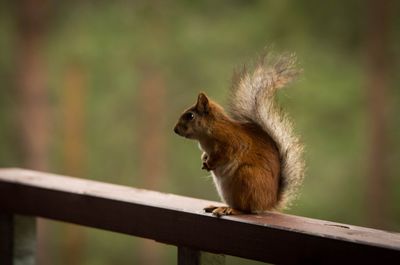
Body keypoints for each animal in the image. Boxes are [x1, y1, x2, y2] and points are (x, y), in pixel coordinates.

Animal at [173, 52, 304, 217]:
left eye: (190, 116)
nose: (175, 130)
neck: (208, 133)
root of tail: (268, 203)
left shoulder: (233, 142)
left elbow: (225, 154)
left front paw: (211, 163)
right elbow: (206, 154)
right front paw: (204, 159)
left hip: (246, 177)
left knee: (245, 209)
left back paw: (229, 209)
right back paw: (218, 206)